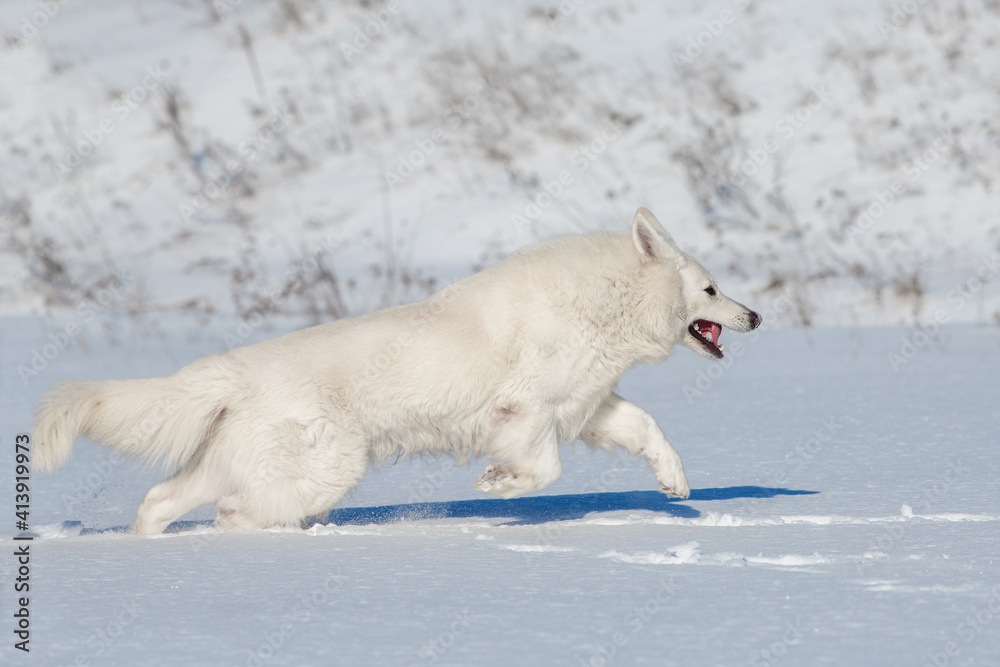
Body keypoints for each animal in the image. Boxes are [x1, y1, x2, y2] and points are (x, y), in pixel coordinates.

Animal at [35, 209, 760, 532]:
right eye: (711, 288)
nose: (754, 315)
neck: (599, 303)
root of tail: (234, 370)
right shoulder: (523, 413)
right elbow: (544, 470)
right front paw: (498, 486)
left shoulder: (585, 406)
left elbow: (648, 428)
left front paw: (676, 484)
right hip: (328, 467)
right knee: (236, 510)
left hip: (240, 461)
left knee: (164, 500)